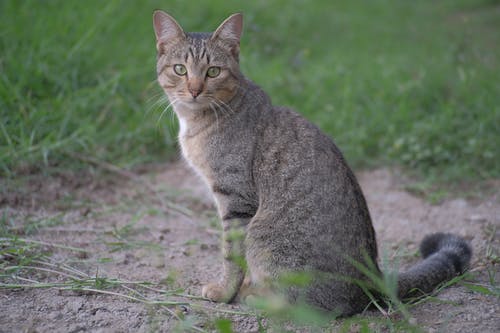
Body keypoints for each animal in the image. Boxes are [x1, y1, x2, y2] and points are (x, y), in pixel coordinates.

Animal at [150, 11, 470, 316]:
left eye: (213, 71)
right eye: (180, 69)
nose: (194, 89)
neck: (198, 121)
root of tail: (372, 278)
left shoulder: (236, 201)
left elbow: (232, 255)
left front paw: (224, 291)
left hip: (264, 237)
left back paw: (258, 297)